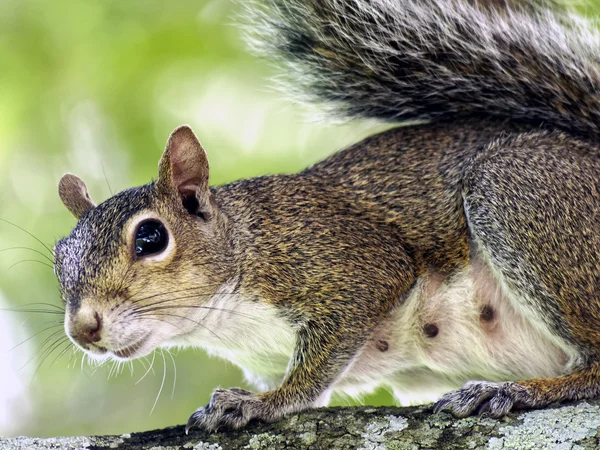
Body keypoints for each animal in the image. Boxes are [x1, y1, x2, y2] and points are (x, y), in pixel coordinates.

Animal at [52, 0, 600, 432]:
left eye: (150, 237)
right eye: (58, 258)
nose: (83, 329)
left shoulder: (345, 261)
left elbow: (316, 369)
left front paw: (265, 402)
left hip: (513, 190)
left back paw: (518, 390)